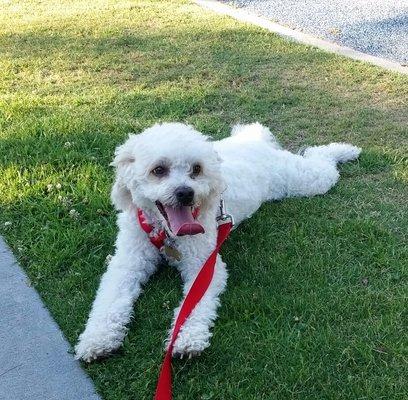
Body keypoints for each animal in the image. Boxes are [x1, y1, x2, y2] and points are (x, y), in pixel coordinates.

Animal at [74, 120, 360, 360]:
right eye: (159, 170)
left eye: (196, 169)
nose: (185, 193)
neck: (167, 233)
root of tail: (253, 141)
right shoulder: (127, 263)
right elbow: (109, 300)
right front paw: (97, 338)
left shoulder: (203, 264)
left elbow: (194, 304)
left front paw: (187, 339)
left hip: (307, 179)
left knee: (321, 158)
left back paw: (346, 150)